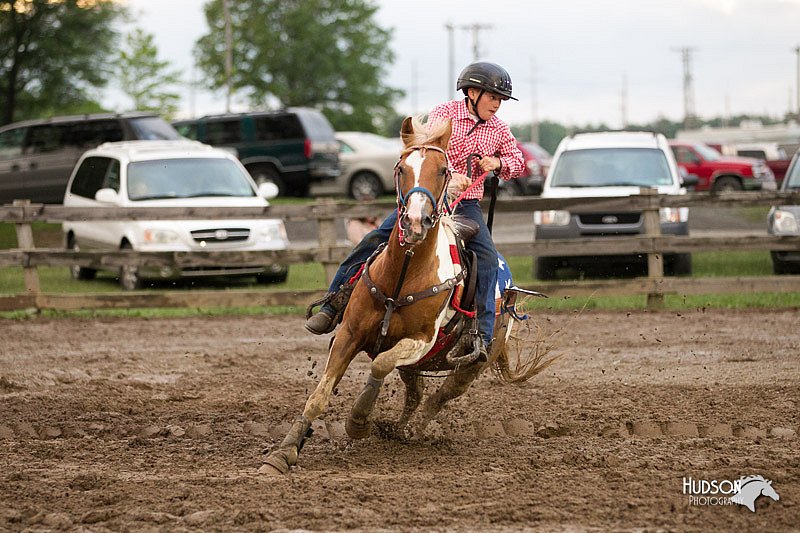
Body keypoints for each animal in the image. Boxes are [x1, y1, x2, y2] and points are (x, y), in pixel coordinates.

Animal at [260, 115, 556, 474]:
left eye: (443, 170)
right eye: (401, 168)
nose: (415, 221)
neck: (403, 275)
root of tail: (509, 290)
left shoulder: (420, 340)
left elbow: (379, 364)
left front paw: (358, 420)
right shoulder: (348, 334)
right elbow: (319, 395)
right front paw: (283, 453)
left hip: (469, 368)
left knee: (436, 399)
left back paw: (414, 432)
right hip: (415, 366)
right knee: (416, 395)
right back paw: (396, 430)